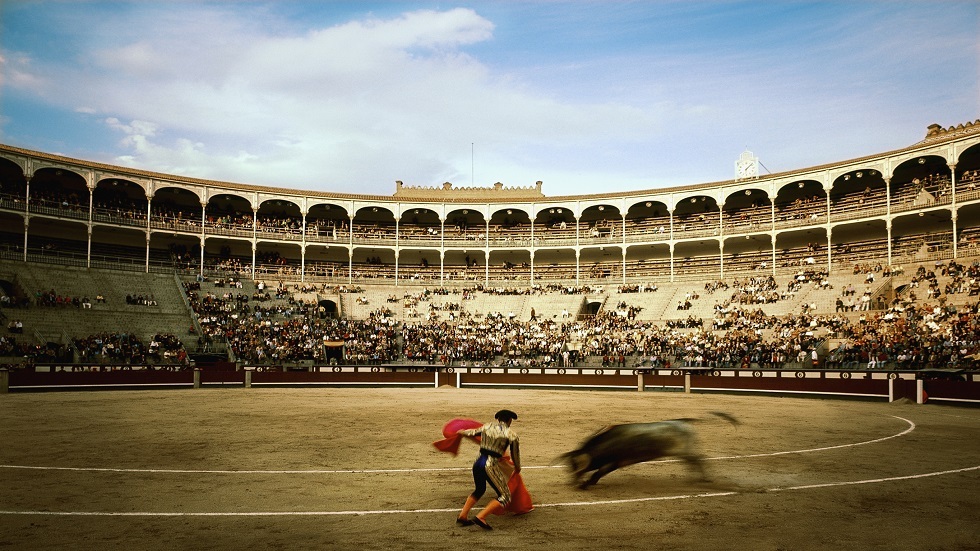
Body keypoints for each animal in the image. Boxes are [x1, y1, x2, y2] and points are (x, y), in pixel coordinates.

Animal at [556, 412, 740, 490]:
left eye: (576, 466)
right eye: (569, 466)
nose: (571, 482)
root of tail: (683, 421)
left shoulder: (613, 463)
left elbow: (597, 473)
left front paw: (586, 484)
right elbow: (597, 474)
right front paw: (589, 483)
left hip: (686, 450)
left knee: (698, 459)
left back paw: (704, 479)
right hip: (685, 451)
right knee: (694, 461)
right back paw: (695, 479)